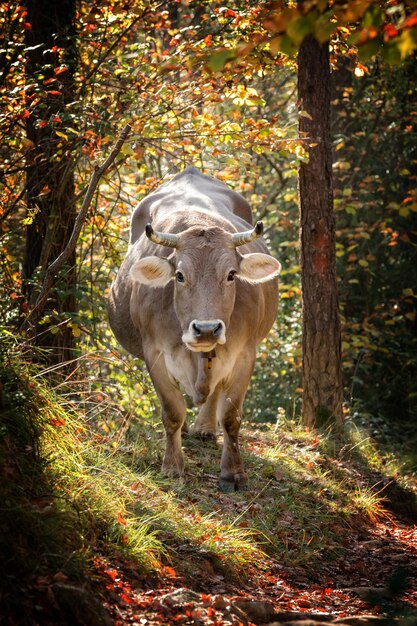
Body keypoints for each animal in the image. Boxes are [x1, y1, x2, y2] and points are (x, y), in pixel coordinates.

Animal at [109, 165, 282, 488]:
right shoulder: (155, 353)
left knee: (213, 392)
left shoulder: (245, 353)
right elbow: (172, 412)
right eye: (179, 275)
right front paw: (172, 466)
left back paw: (204, 428)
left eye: (231, 274)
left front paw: (233, 472)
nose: (206, 329)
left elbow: (231, 416)